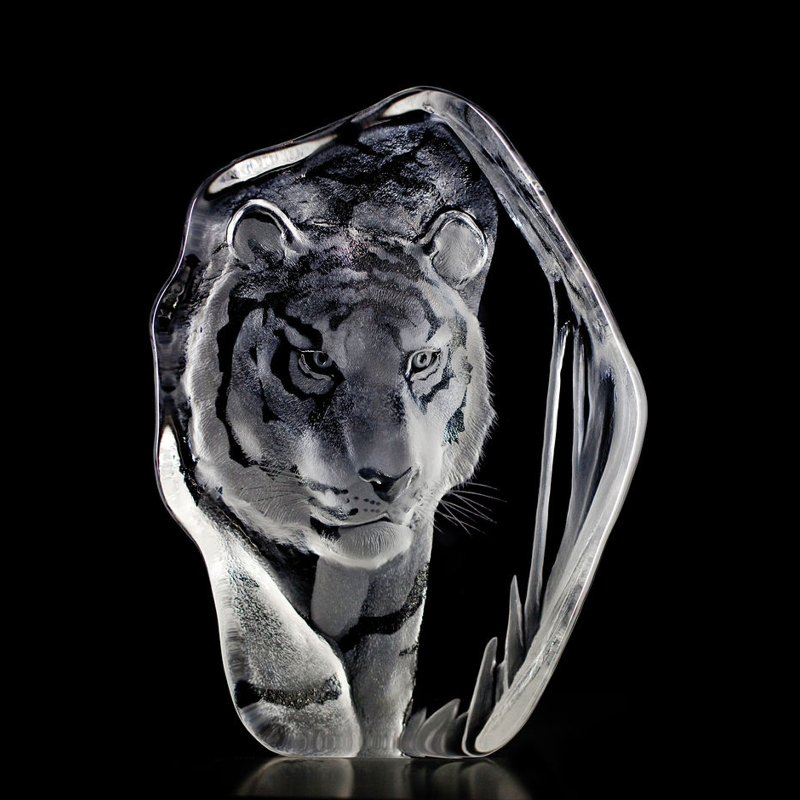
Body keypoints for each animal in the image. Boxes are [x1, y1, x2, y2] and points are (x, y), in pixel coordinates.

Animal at [159, 118, 498, 756]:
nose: (392, 479)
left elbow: (387, 647)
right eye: (317, 361)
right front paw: (313, 724)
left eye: (422, 360)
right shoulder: (183, 465)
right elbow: (254, 593)